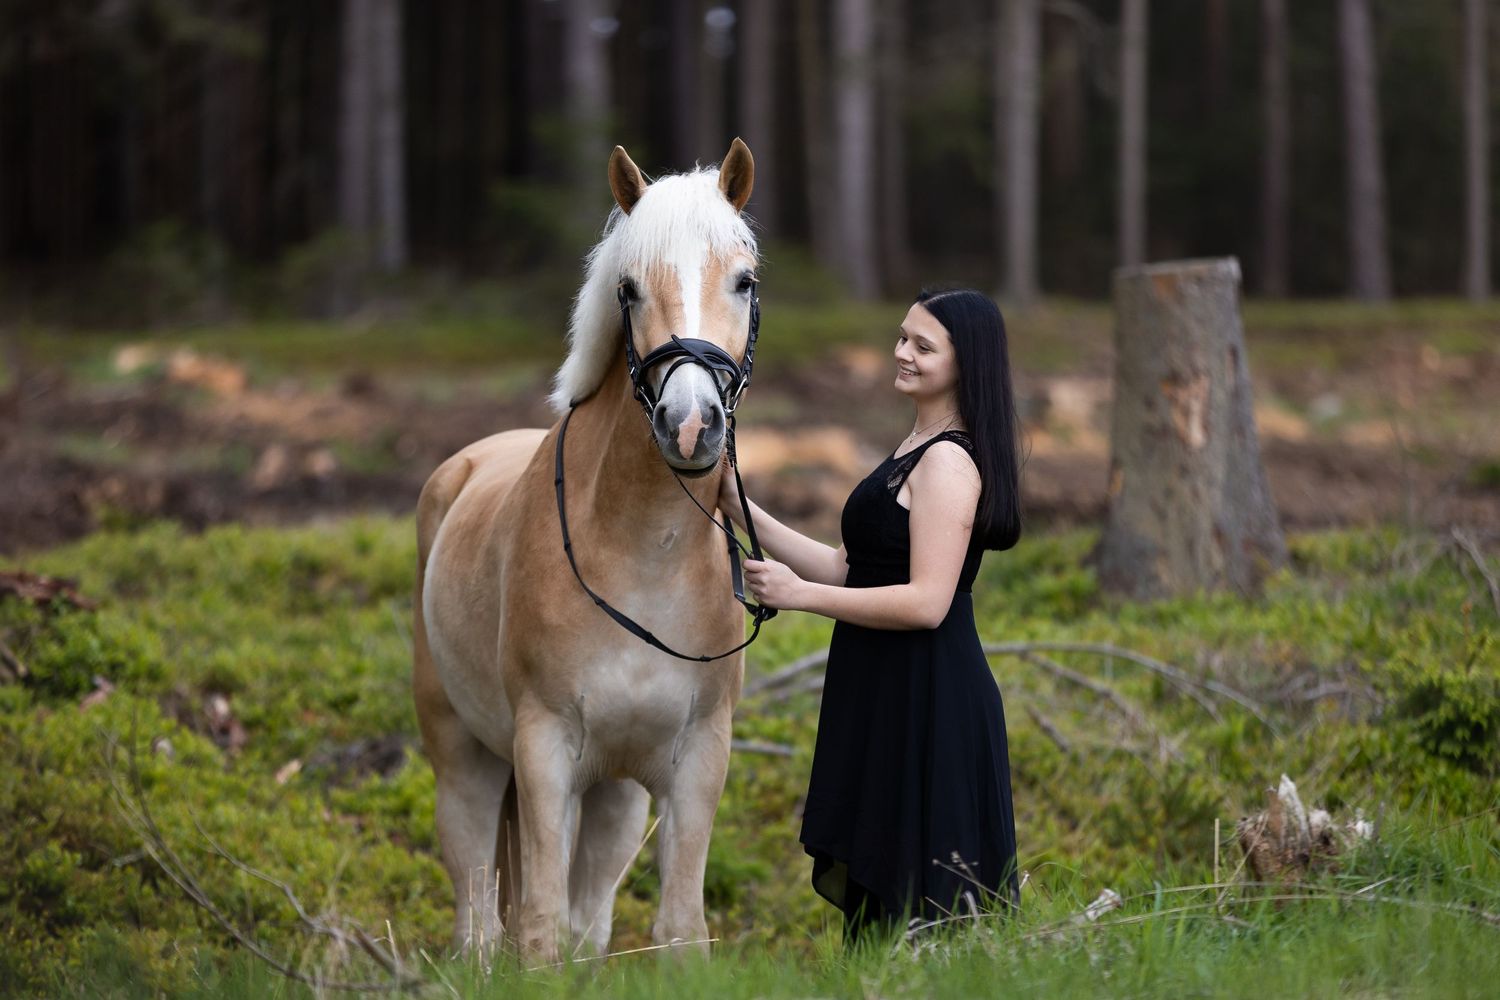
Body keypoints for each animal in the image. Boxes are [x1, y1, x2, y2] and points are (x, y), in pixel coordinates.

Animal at [413, 139, 761, 964]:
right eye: (629, 289)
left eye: (744, 280)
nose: (691, 425)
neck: (643, 558)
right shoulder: (545, 751)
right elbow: (537, 929)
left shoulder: (696, 758)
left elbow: (676, 930)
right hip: (468, 762)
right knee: (480, 918)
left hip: (616, 796)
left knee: (586, 921)